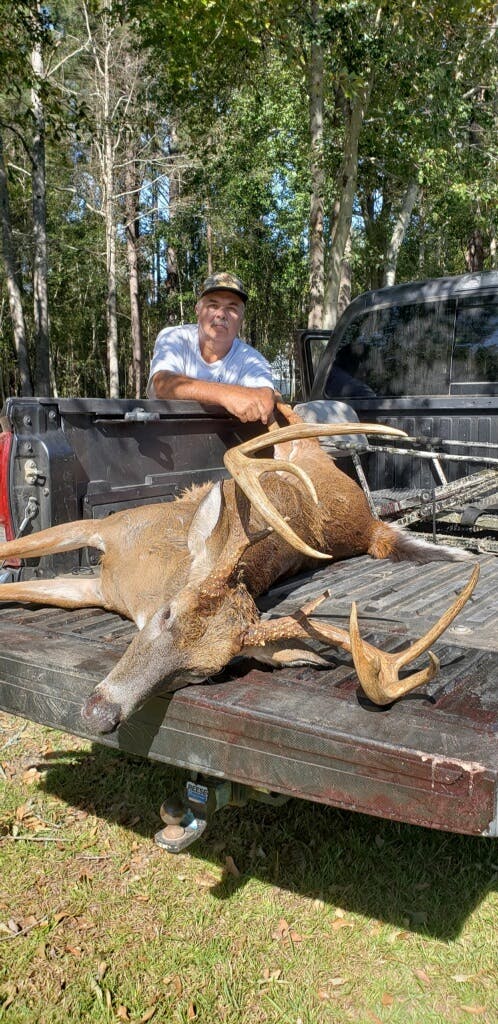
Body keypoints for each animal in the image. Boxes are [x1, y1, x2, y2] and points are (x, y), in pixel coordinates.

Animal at [0, 402, 478, 735]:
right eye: (167, 614)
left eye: (204, 674)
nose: (99, 715)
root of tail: (371, 521)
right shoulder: (104, 527)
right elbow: (12, 551)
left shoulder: (97, 586)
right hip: (296, 447)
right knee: (288, 416)